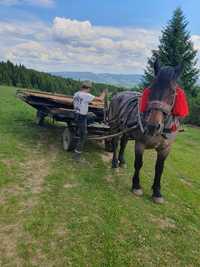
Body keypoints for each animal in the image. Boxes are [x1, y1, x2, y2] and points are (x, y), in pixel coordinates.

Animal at [108, 59, 185, 204]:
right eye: (151, 89)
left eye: (173, 92)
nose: (153, 126)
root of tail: (118, 94)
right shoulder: (140, 143)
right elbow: (139, 163)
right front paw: (136, 186)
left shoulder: (165, 149)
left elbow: (159, 169)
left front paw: (157, 192)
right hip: (115, 127)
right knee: (115, 143)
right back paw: (115, 162)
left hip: (126, 129)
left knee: (124, 142)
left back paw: (122, 161)